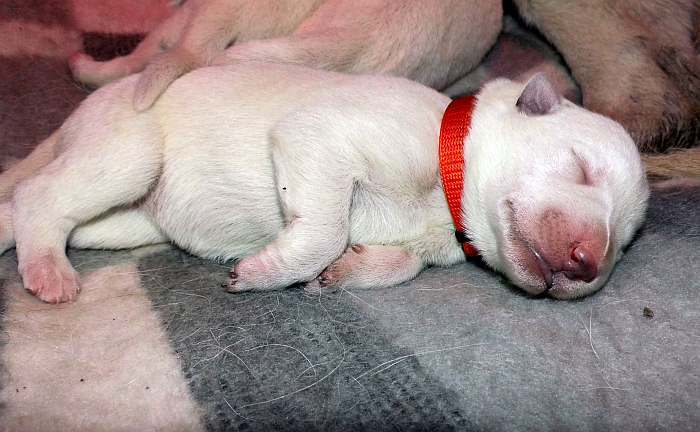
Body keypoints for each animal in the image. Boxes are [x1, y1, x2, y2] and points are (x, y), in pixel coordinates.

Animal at [0, 66, 648, 306]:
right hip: (130, 153)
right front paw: (268, 271)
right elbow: (325, 226)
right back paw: (49, 273)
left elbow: (401, 263)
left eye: (624, 243)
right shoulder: (322, 134)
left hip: (123, 222)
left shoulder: (425, 243)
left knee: (29, 208)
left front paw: (343, 271)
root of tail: (71, 127)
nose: (589, 262)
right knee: (38, 199)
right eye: (580, 168)